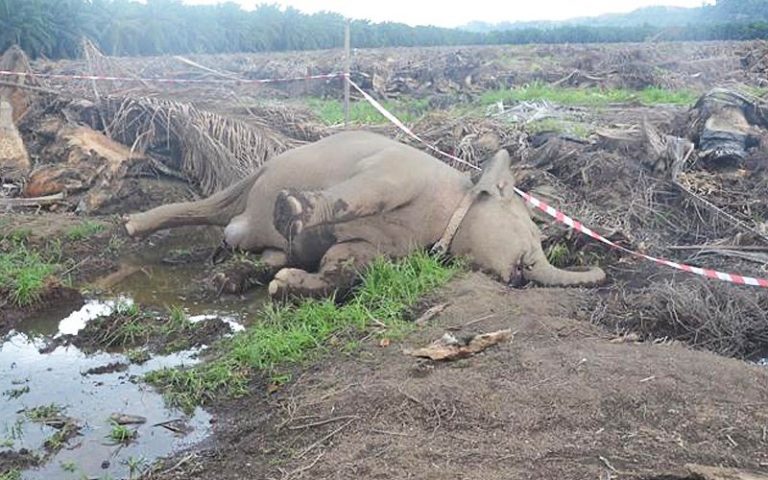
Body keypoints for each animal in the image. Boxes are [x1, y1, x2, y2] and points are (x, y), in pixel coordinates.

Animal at [124, 131, 605, 299]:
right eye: (532, 234)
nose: (601, 273)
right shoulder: (395, 173)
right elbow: (368, 191)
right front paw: (291, 209)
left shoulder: (390, 247)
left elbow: (349, 263)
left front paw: (285, 286)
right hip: (255, 181)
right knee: (218, 207)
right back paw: (131, 225)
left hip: (254, 232)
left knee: (262, 252)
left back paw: (232, 277)